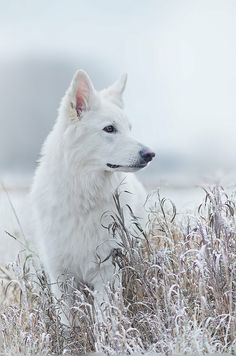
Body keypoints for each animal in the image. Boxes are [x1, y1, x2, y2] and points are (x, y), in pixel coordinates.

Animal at [30, 70, 155, 322]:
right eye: (109, 129)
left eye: (129, 128)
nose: (150, 154)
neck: (82, 193)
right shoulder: (60, 276)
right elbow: (66, 321)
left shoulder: (106, 272)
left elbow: (103, 318)